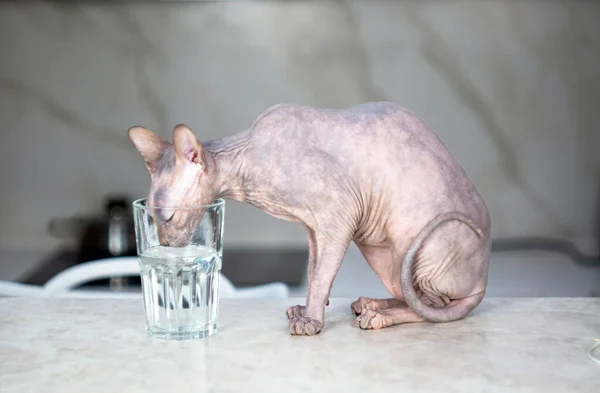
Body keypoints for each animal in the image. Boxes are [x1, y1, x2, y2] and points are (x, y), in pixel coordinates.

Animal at [129, 102, 490, 336]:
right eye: (153, 219)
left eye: (168, 217)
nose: (166, 245)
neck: (247, 159)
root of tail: (484, 279)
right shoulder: (314, 227)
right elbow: (314, 270)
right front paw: (304, 309)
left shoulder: (338, 218)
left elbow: (320, 278)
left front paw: (310, 320)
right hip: (381, 250)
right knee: (410, 294)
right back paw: (372, 304)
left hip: (420, 246)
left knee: (431, 308)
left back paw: (377, 316)